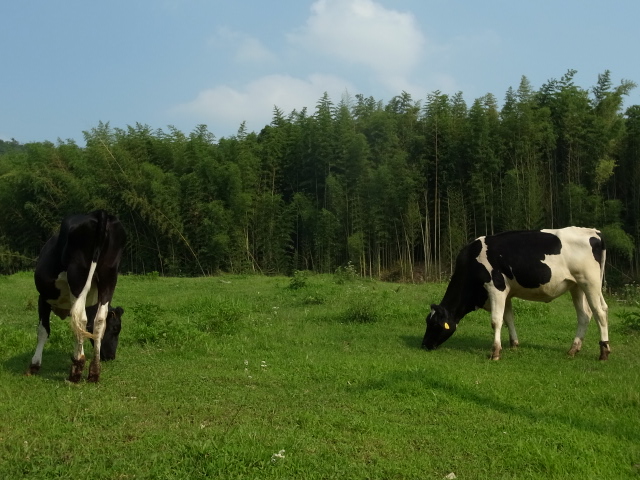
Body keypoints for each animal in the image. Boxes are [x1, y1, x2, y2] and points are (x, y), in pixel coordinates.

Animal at [27, 210, 126, 382]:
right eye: (115, 328)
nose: (111, 356)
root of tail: (100, 213)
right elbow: (80, 330)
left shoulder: (43, 298)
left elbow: (43, 330)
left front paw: (35, 364)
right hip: (110, 273)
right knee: (99, 319)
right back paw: (94, 371)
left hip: (77, 274)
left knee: (80, 317)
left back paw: (76, 372)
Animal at [420, 228, 608, 360]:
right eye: (427, 321)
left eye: (435, 324)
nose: (424, 345)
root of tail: (594, 232)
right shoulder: (507, 293)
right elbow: (508, 318)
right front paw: (514, 344)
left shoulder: (496, 288)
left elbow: (496, 321)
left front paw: (495, 352)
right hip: (576, 287)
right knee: (585, 315)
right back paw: (573, 349)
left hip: (590, 283)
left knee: (600, 313)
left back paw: (604, 352)